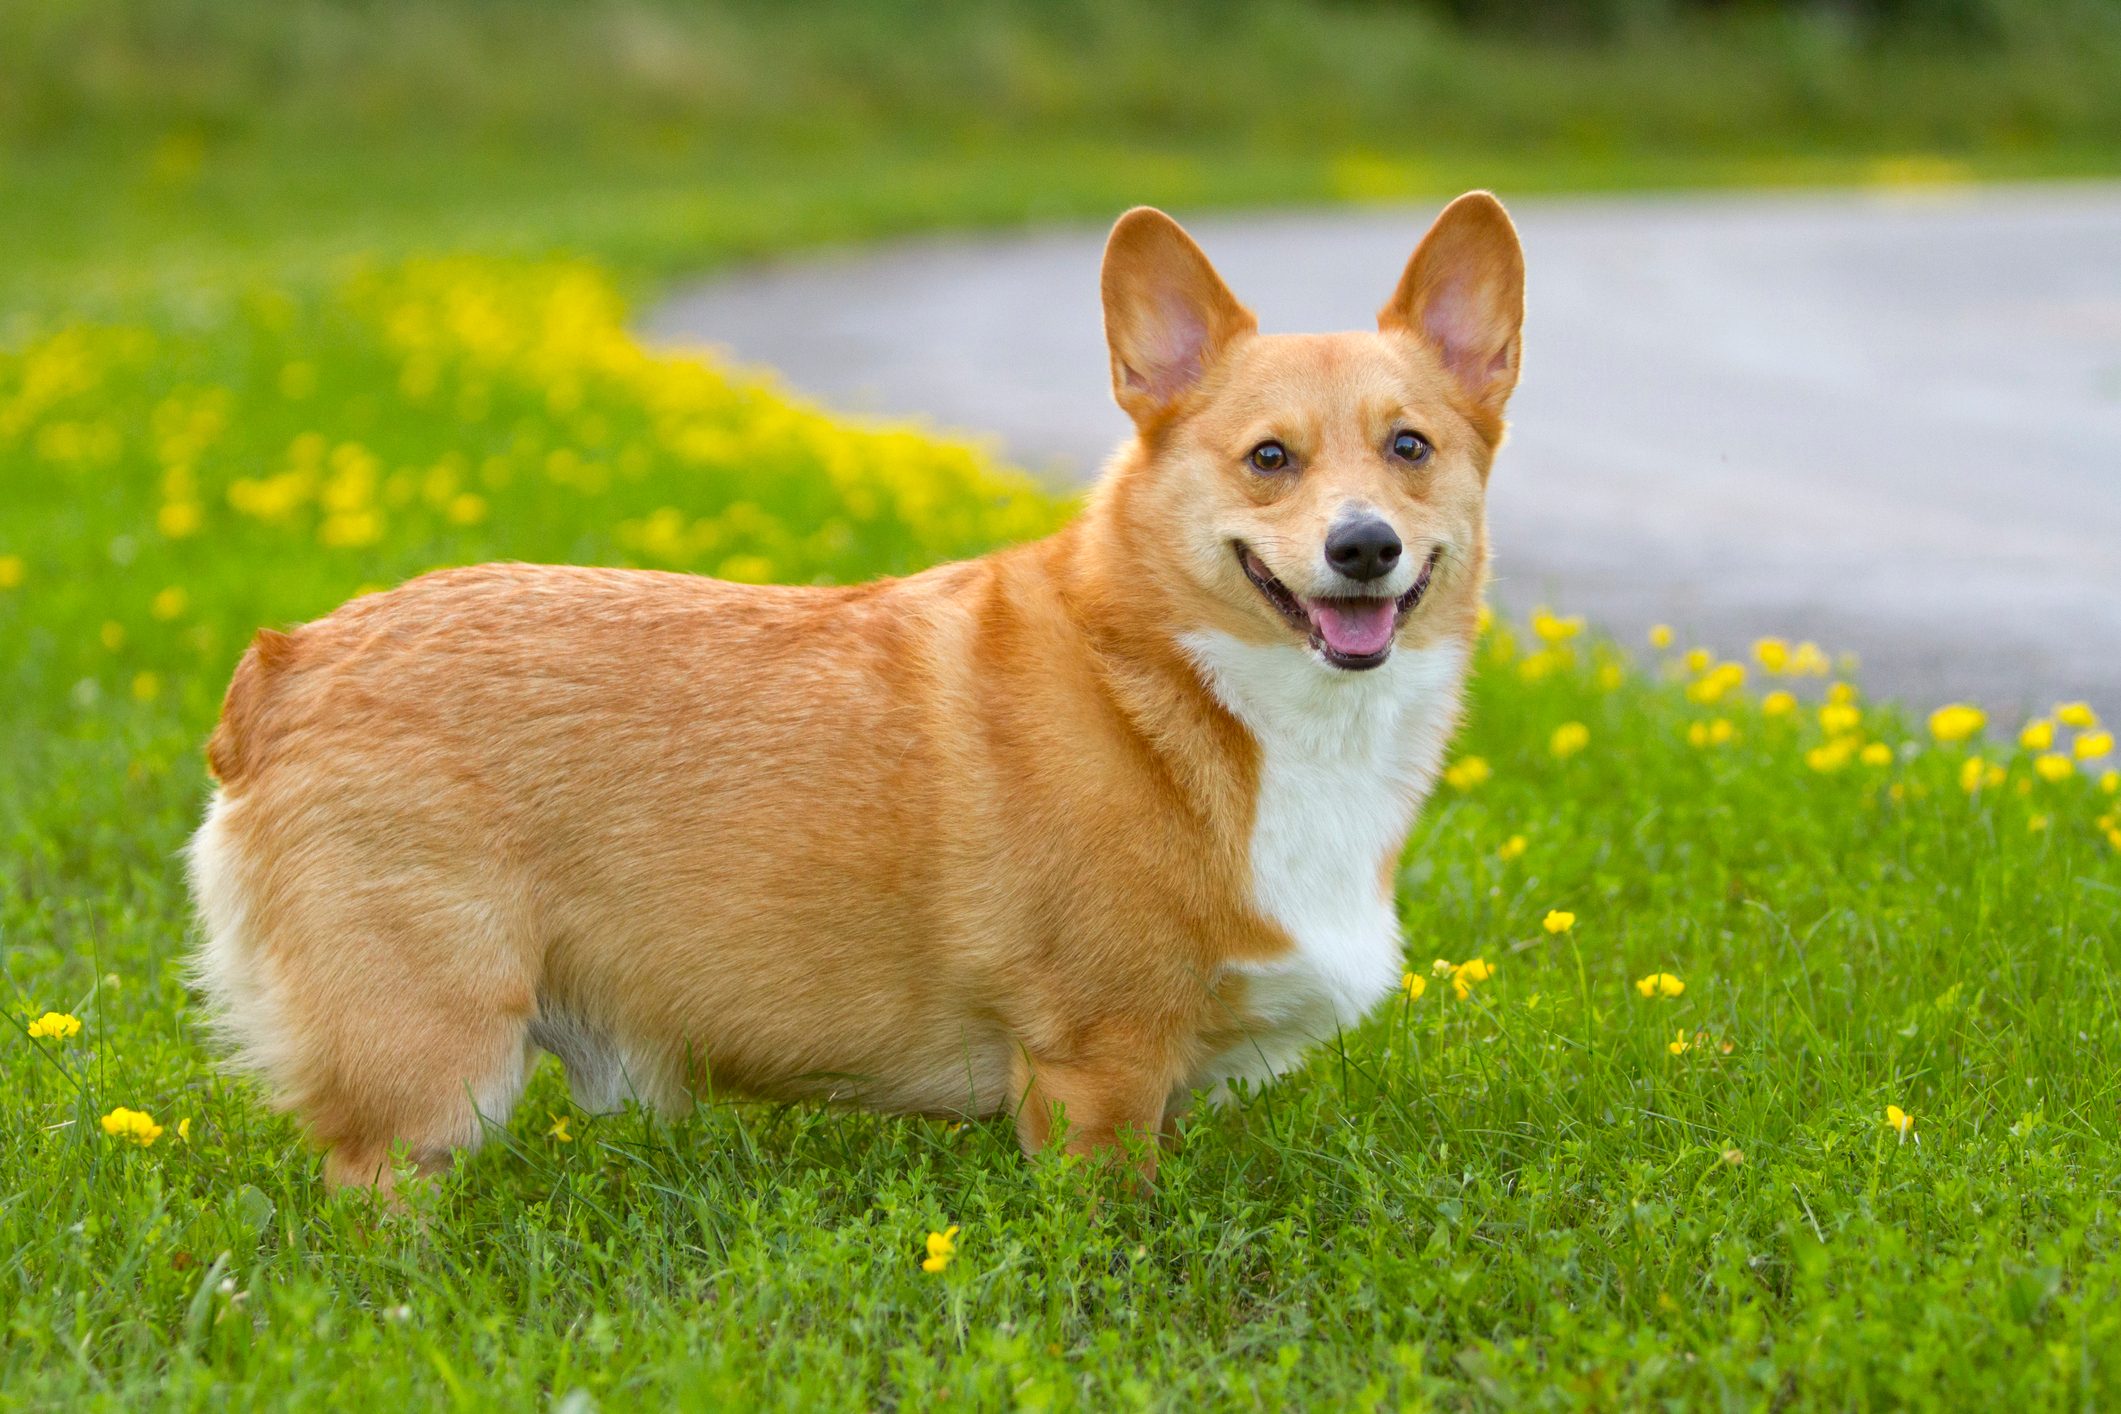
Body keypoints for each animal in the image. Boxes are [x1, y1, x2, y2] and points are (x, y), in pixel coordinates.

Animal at [186, 187, 1527, 1187]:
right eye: (1268, 459)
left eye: (1410, 447)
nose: (1364, 547)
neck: (1193, 685)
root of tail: (287, 661)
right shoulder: (1095, 1067)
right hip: (435, 1065)